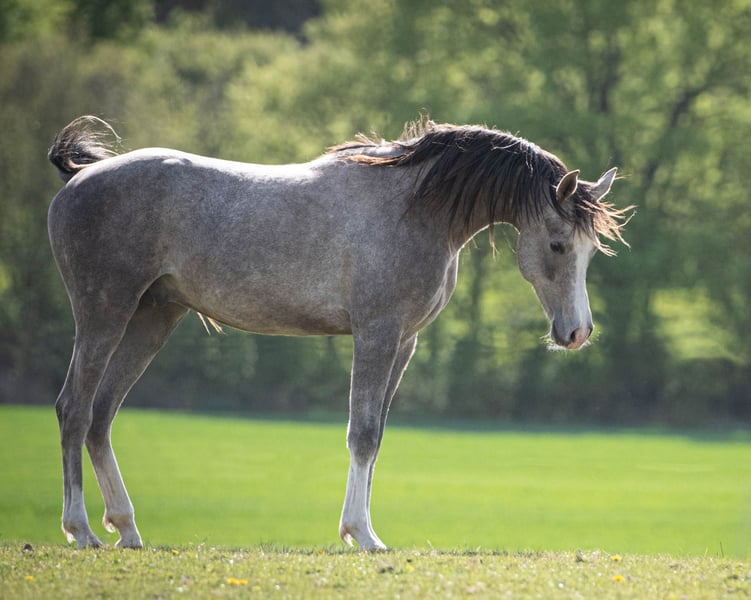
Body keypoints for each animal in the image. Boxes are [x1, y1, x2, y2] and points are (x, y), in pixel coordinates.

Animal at [47, 115, 628, 550]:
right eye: (557, 244)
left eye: (590, 249)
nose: (577, 332)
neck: (414, 207)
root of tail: (76, 181)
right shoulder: (376, 334)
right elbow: (363, 434)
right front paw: (361, 536)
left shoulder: (404, 342)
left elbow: (377, 435)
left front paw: (363, 530)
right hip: (105, 313)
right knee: (74, 408)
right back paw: (81, 530)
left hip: (153, 317)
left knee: (101, 415)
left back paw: (126, 528)